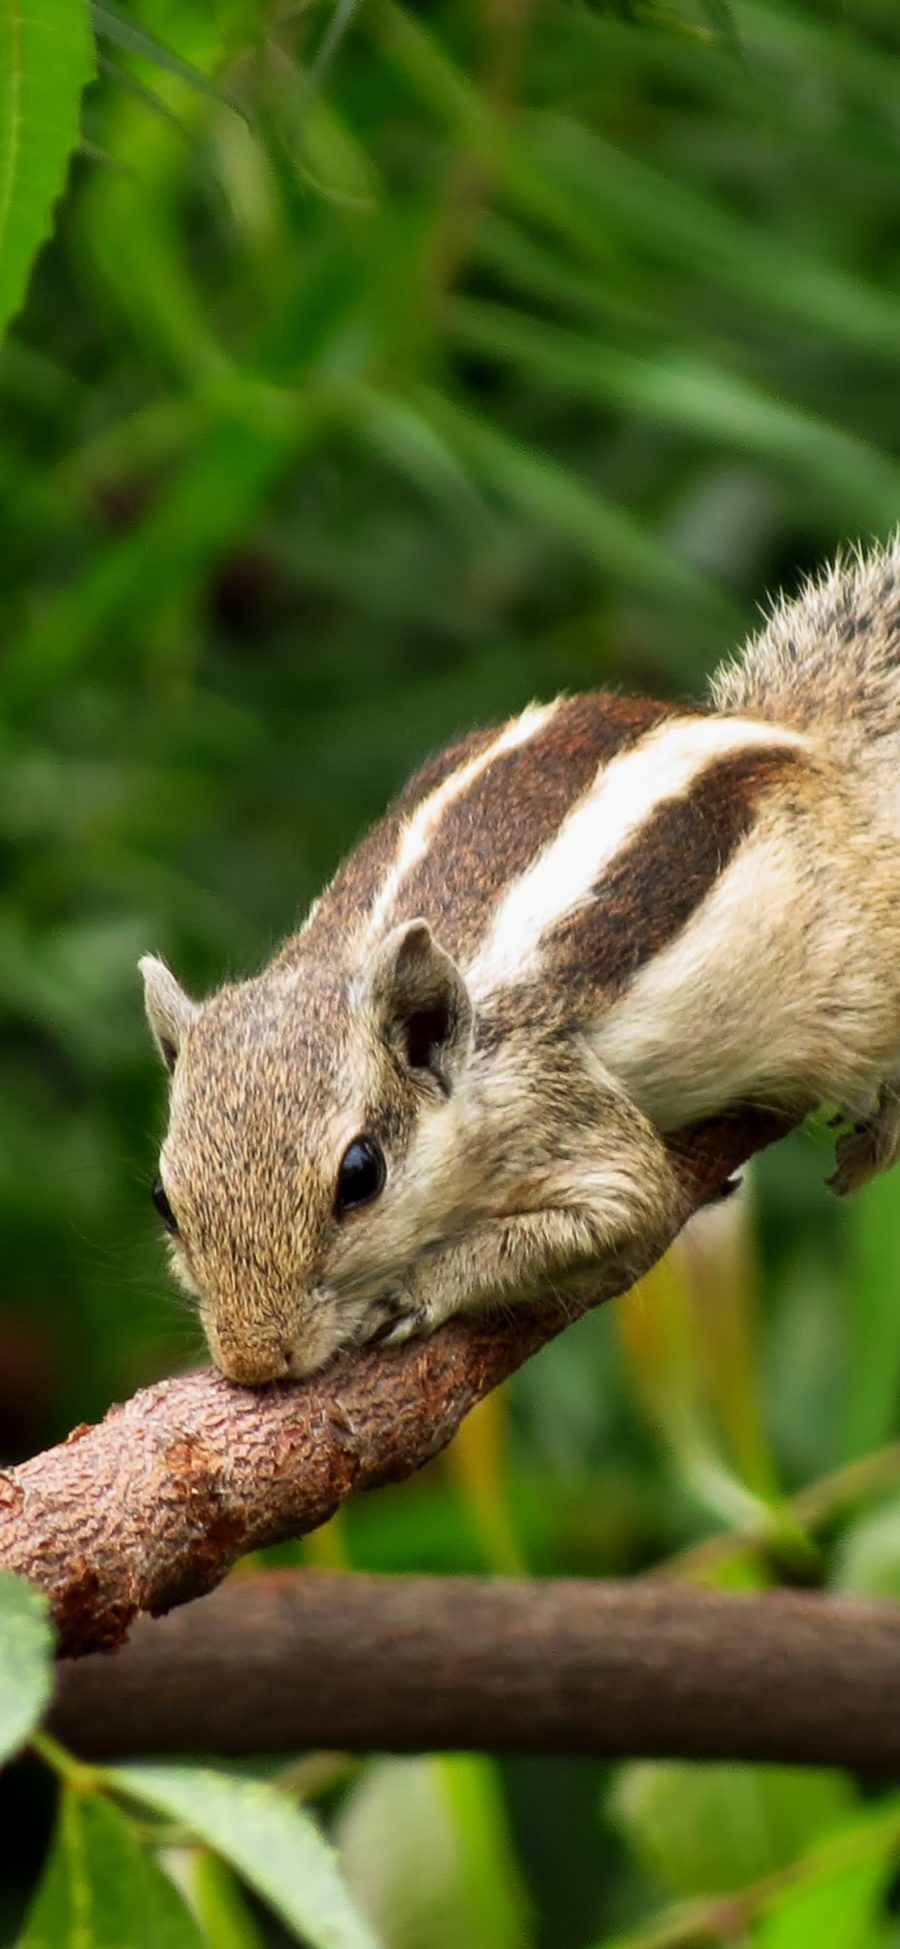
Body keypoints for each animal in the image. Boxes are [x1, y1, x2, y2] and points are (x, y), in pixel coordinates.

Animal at [142, 541, 900, 1379]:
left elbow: (630, 1201)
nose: (254, 1360)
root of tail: (803, 740)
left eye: (360, 1176)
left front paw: (418, 1285)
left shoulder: (553, 1099)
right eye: (162, 1199)